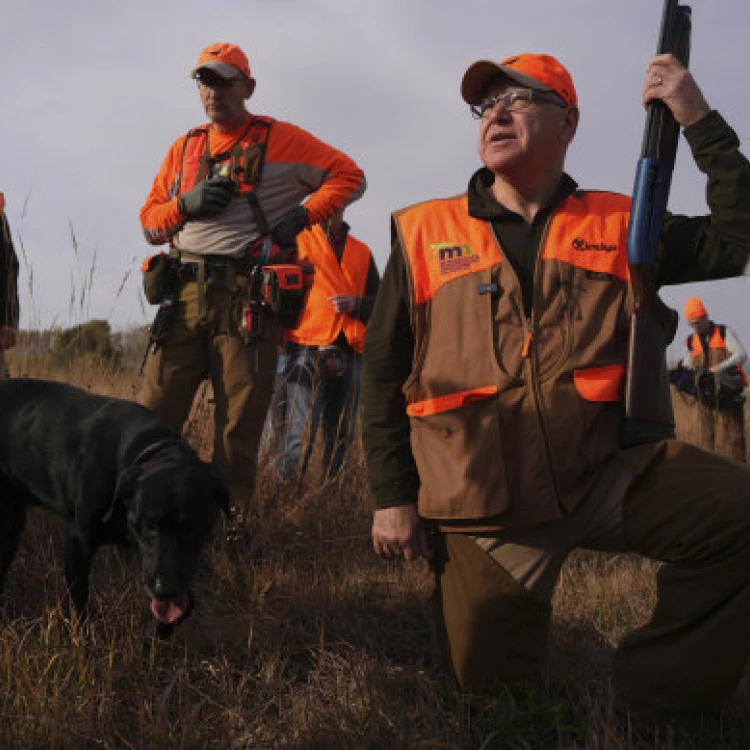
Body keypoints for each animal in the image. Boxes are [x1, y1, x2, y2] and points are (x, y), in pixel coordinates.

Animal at [0, 378, 229, 636]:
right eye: (148, 527)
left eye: (191, 528)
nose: (165, 589)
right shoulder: (79, 540)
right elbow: (78, 604)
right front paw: (82, 640)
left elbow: (187, 604)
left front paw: (158, 630)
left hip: (12, 525)